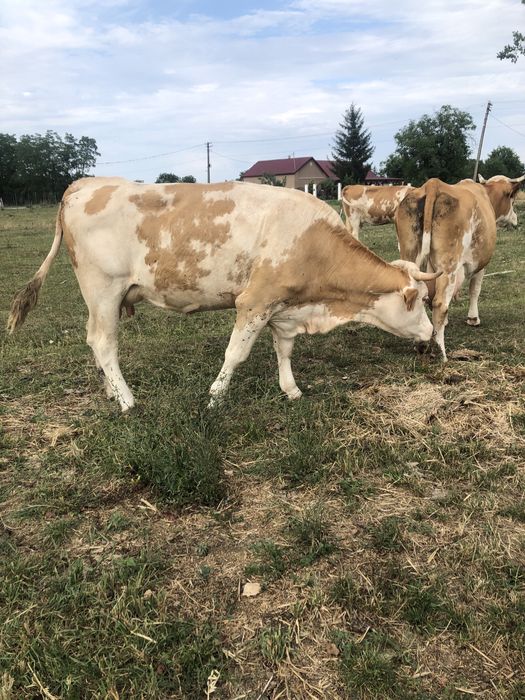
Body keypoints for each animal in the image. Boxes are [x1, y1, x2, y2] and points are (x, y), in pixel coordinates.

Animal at [8, 178, 439, 412]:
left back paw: (110, 391)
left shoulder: (282, 307)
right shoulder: (255, 301)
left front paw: (292, 390)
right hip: (104, 290)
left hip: (99, 298)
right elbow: (236, 354)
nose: (430, 334)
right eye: (419, 301)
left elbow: (284, 350)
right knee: (103, 343)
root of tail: (84, 184)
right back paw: (127, 400)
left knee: (93, 341)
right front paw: (215, 397)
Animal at [395, 174, 524, 361]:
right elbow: (474, 290)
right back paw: (440, 350)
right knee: (440, 302)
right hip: (449, 265)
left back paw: (420, 341)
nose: (515, 220)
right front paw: (473, 318)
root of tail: (433, 184)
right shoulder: (480, 265)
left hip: (410, 254)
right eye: (512, 199)